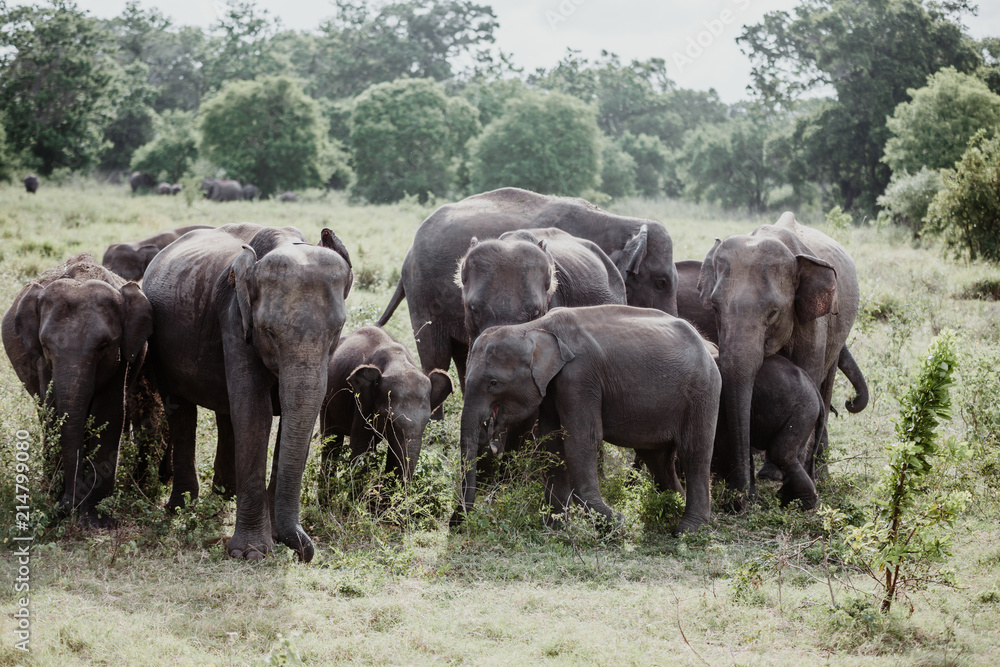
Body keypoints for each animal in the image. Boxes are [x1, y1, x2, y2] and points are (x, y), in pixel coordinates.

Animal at [1, 254, 154, 525]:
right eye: (45, 345)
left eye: (104, 346)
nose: (67, 508)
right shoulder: (41, 360)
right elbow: (53, 409)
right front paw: (59, 505)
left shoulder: (122, 356)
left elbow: (110, 411)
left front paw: (95, 518)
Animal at [142, 223, 353, 562]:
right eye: (269, 332)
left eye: (336, 331)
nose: (305, 552)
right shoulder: (234, 319)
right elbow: (255, 413)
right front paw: (251, 553)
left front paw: (276, 537)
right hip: (160, 349)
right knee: (181, 411)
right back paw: (180, 508)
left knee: (226, 412)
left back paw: (225, 494)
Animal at [317, 326, 453, 486]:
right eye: (389, 420)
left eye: (426, 422)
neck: (398, 362)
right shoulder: (363, 402)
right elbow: (361, 447)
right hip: (326, 399)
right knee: (331, 441)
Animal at [453, 305, 721, 533]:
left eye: (493, 383)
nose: (455, 524)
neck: (535, 327)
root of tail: (706, 344)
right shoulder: (552, 386)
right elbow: (552, 442)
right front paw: (556, 526)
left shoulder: (579, 377)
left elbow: (581, 439)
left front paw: (615, 523)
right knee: (657, 457)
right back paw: (676, 509)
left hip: (703, 391)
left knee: (694, 452)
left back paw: (688, 530)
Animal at [698, 212, 861, 503]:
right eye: (715, 308)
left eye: (773, 312)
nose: (744, 495)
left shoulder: (813, 323)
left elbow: (809, 372)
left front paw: (779, 483)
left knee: (826, 385)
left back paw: (816, 474)